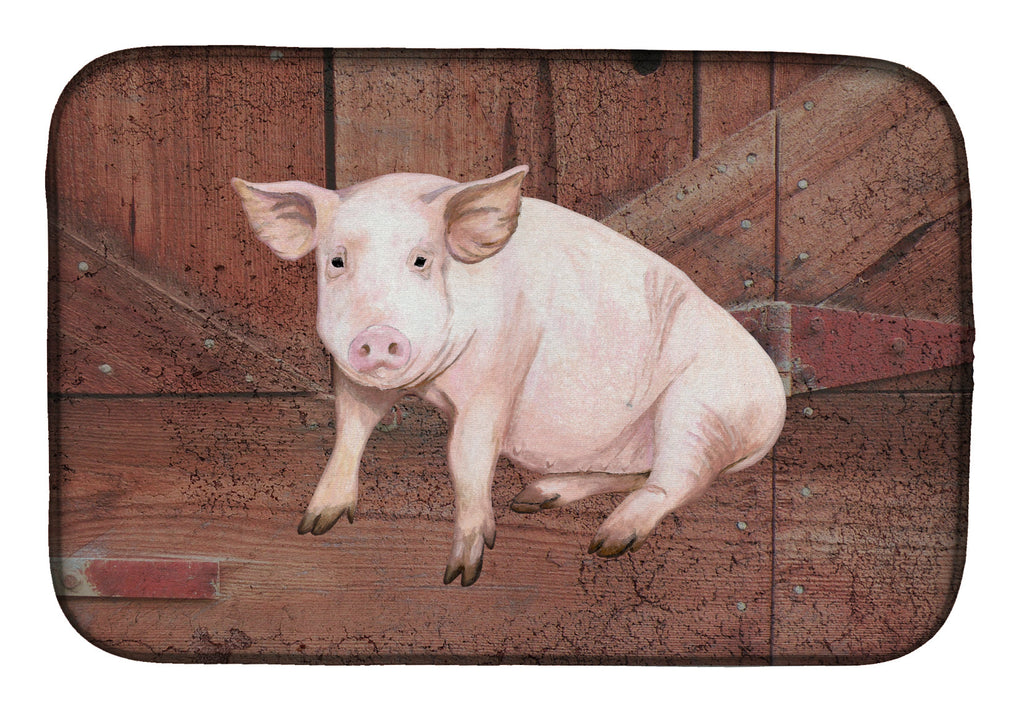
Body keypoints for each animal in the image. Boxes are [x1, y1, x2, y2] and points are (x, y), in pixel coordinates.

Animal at [231, 166, 786, 586]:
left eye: (421, 260)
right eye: (336, 260)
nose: (379, 335)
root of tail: (776, 407)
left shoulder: (502, 367)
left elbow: (467, 455)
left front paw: (462, 573)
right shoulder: (355, 376)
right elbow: (350, 428)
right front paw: (313, 524)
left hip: (702, 407)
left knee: (679, 480)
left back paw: (606, 541)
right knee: (649, 473)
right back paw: (536, 497)